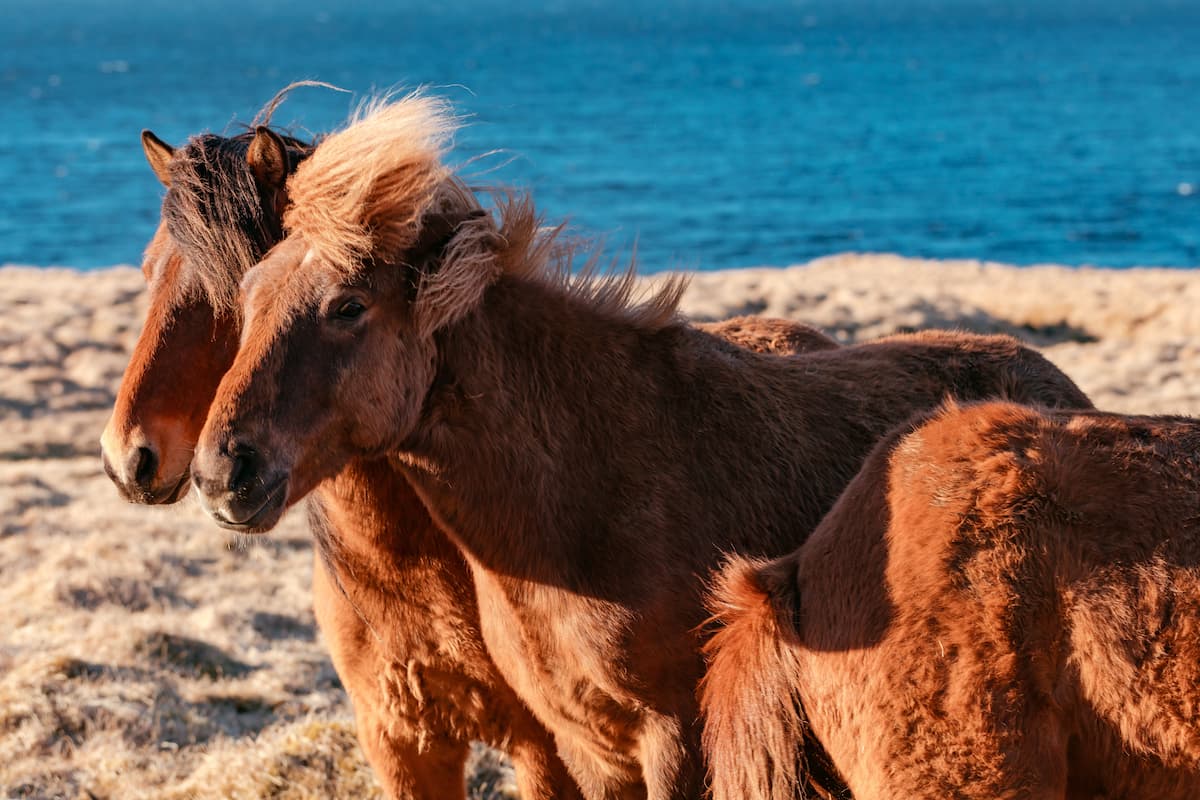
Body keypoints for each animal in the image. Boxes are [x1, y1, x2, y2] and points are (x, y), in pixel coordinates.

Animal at [98, 101, 840, 800]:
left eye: (231, 287)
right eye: (147, 271)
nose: (130, 457)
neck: (411, 569)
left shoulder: (551, 748)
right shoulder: (401, 742)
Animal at [189, 95, 1099, 800]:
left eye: (348, 307)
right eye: (248, 293)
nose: (222, 471)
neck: (587, 488)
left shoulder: (677, 739)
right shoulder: (587, 746)